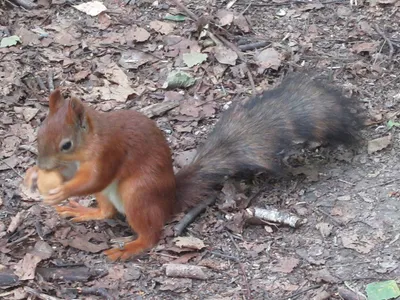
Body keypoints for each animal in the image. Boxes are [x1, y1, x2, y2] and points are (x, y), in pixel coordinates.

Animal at [24, 74, 362, 262]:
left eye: (66, 144)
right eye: (39, 133)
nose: (42, 164)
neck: (88, 143)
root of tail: (169, 199)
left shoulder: (111, 152)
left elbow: (95, 177)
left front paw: (60, 190)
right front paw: (35, 176)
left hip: (138, 195)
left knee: (151, 234)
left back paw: (130, 247)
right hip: (112, 197)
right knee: (106, 212)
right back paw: (84, 211)